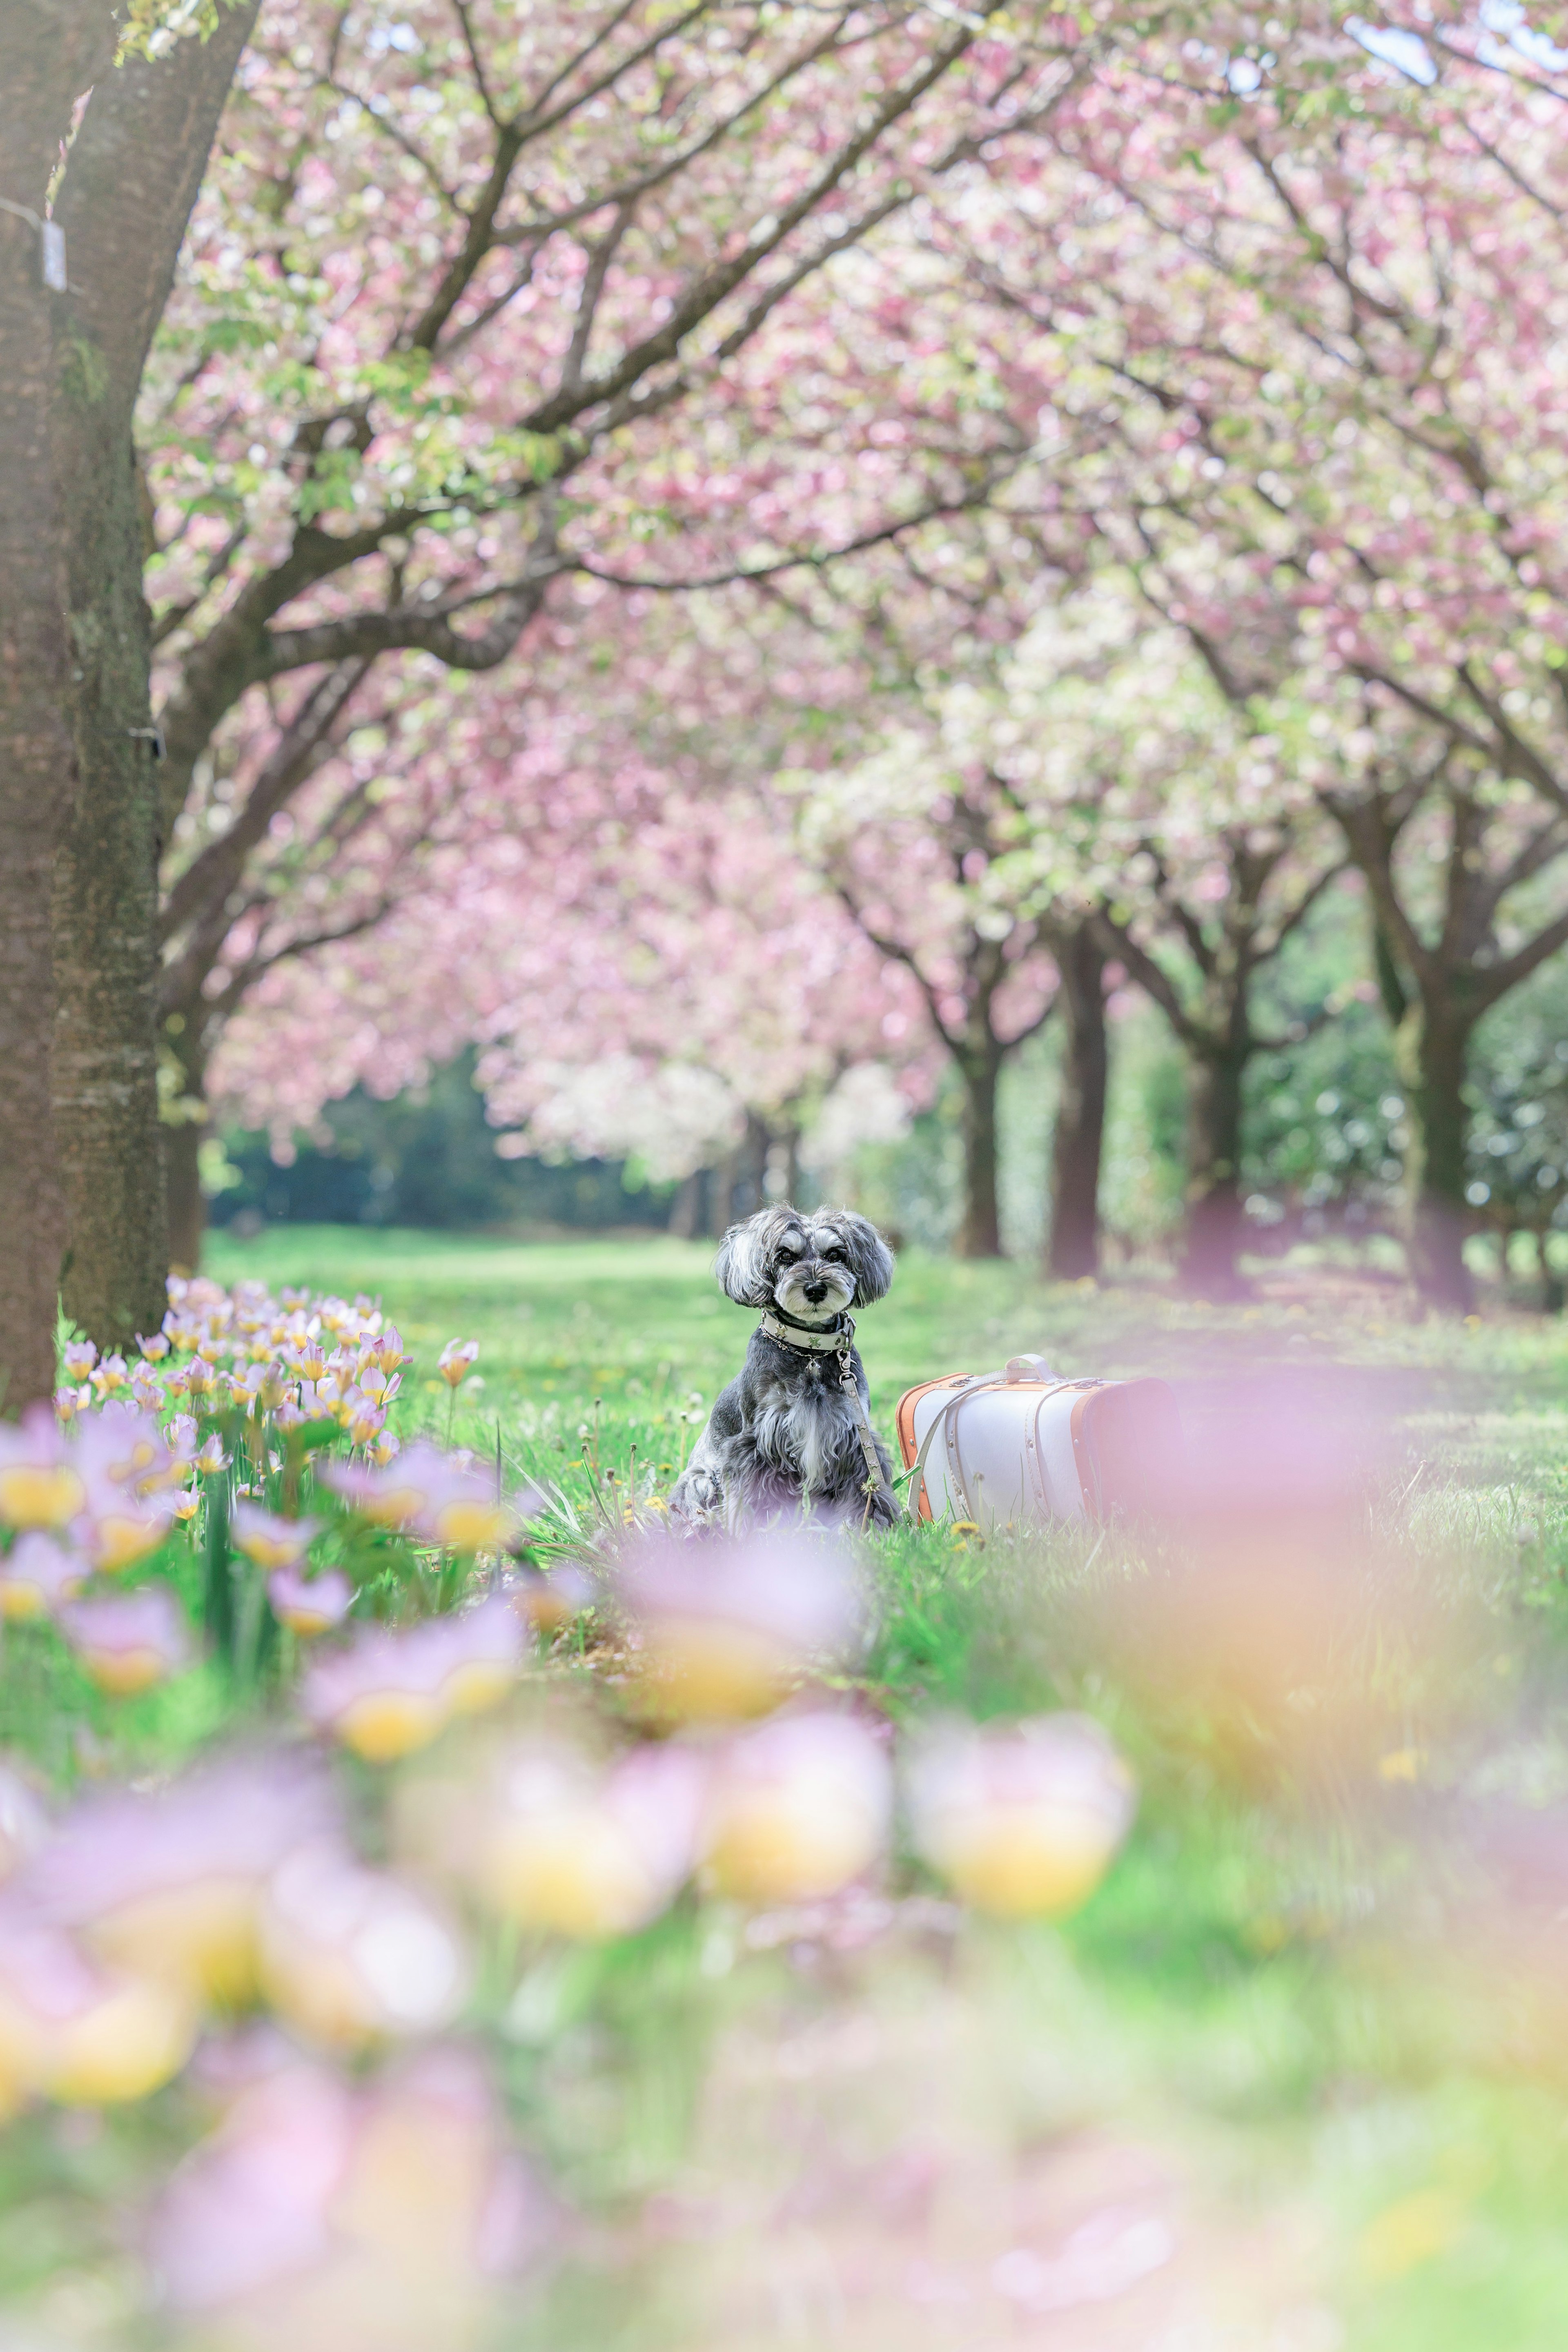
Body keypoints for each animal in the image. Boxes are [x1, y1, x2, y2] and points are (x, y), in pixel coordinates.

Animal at [668, 1204, 902, 1533]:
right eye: (785, 1256)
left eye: (835, 1254)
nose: (816, 1289)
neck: (809, 1350)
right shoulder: (754, 1445)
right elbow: (754, 1499)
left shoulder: (855, 1438)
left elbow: (867, 1490)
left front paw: (872, 1529)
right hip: (699, 1479)